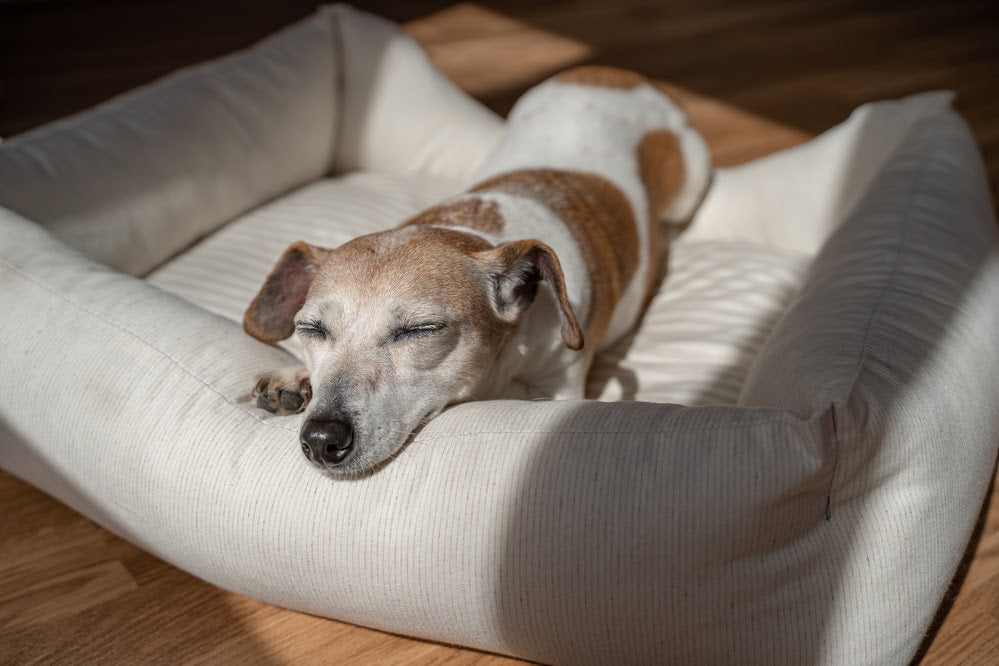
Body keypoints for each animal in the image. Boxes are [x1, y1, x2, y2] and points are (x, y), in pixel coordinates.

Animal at [242, 65, 712, 474]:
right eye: (311, 329)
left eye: (420, 330)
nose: (321, 439)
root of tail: (612, 73)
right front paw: (296, 376)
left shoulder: (557, 387)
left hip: (692, 178)